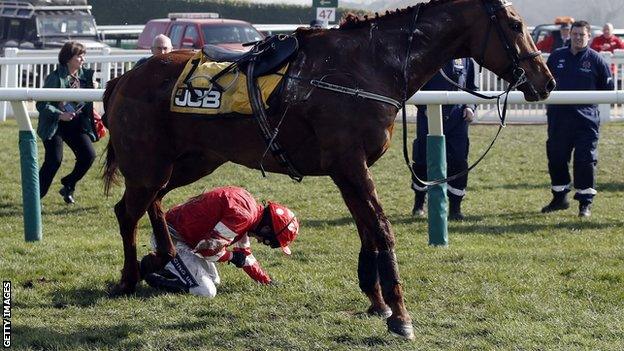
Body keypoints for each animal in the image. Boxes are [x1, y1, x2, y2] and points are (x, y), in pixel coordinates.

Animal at [103, 0, 556, 340]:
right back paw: (128, 278)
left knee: (155, 202)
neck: (369, 65)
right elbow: (381, 229)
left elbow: (366, 229)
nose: (546, 80)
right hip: (150, 165)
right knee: (127, 211)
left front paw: (377, 302)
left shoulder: (348, 170)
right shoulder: (351, 165)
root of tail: (125, 78)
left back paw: (162, 257)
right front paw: (401, 315)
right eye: (515, 24)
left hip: (190, 161)